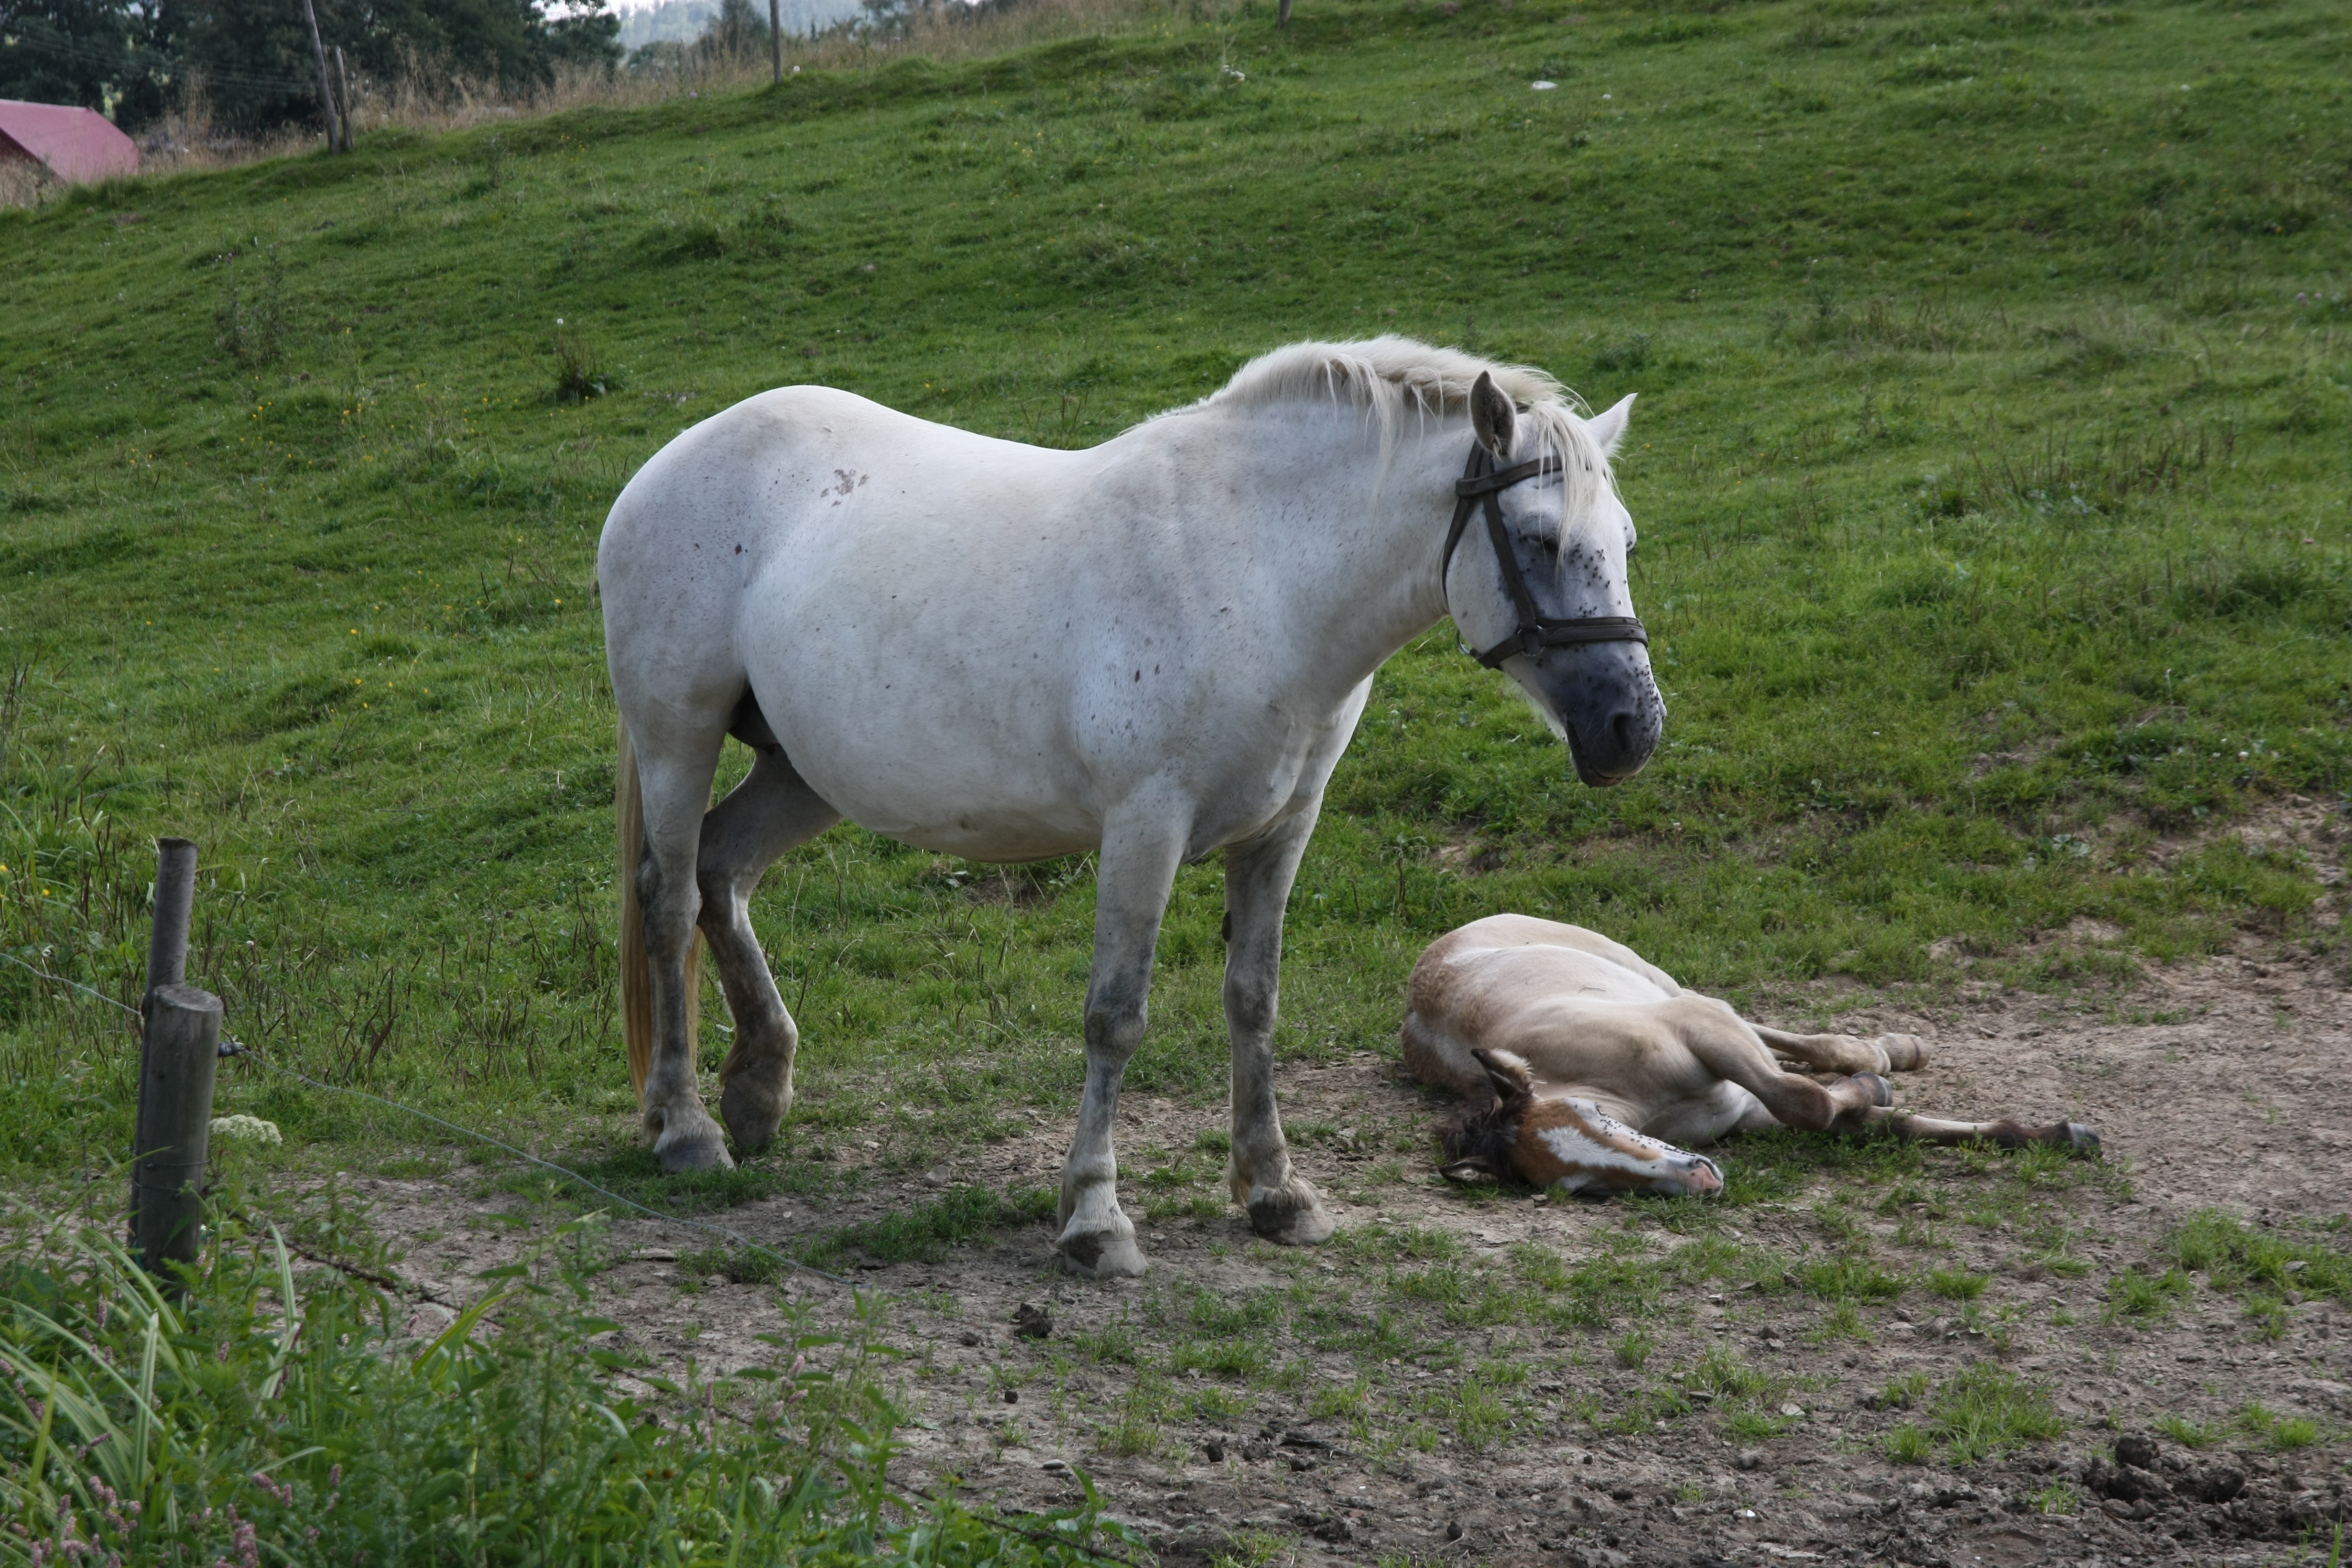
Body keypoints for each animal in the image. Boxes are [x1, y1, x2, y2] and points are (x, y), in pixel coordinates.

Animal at [598, 338, 1664, 1277]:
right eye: (1540, 540)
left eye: (1623, 542)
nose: (1631, 726)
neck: (1260, 571)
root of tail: (670, 462)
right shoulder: (1144, 827)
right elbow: (1116, 1016)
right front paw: (1094, 1220)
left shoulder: (1281, 831)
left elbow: (1254, 1001)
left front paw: (1275, 1191)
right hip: (677, 738)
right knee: (668, 898)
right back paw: (687, 1129)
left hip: (802, 770)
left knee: (722, 872)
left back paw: (758, 1088)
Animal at [1402, 915, 2100, 1196]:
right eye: (1588, 1187)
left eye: (1596, 1120)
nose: (1700, 1178)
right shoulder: (1746, 1113)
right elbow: (1872, 1122)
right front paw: (2057, 1134)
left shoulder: (1702, 1030)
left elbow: (1805, 1097)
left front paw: (1872, 1077)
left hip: (1649, 975)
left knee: (1744, 1016)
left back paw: (1888, 1050)